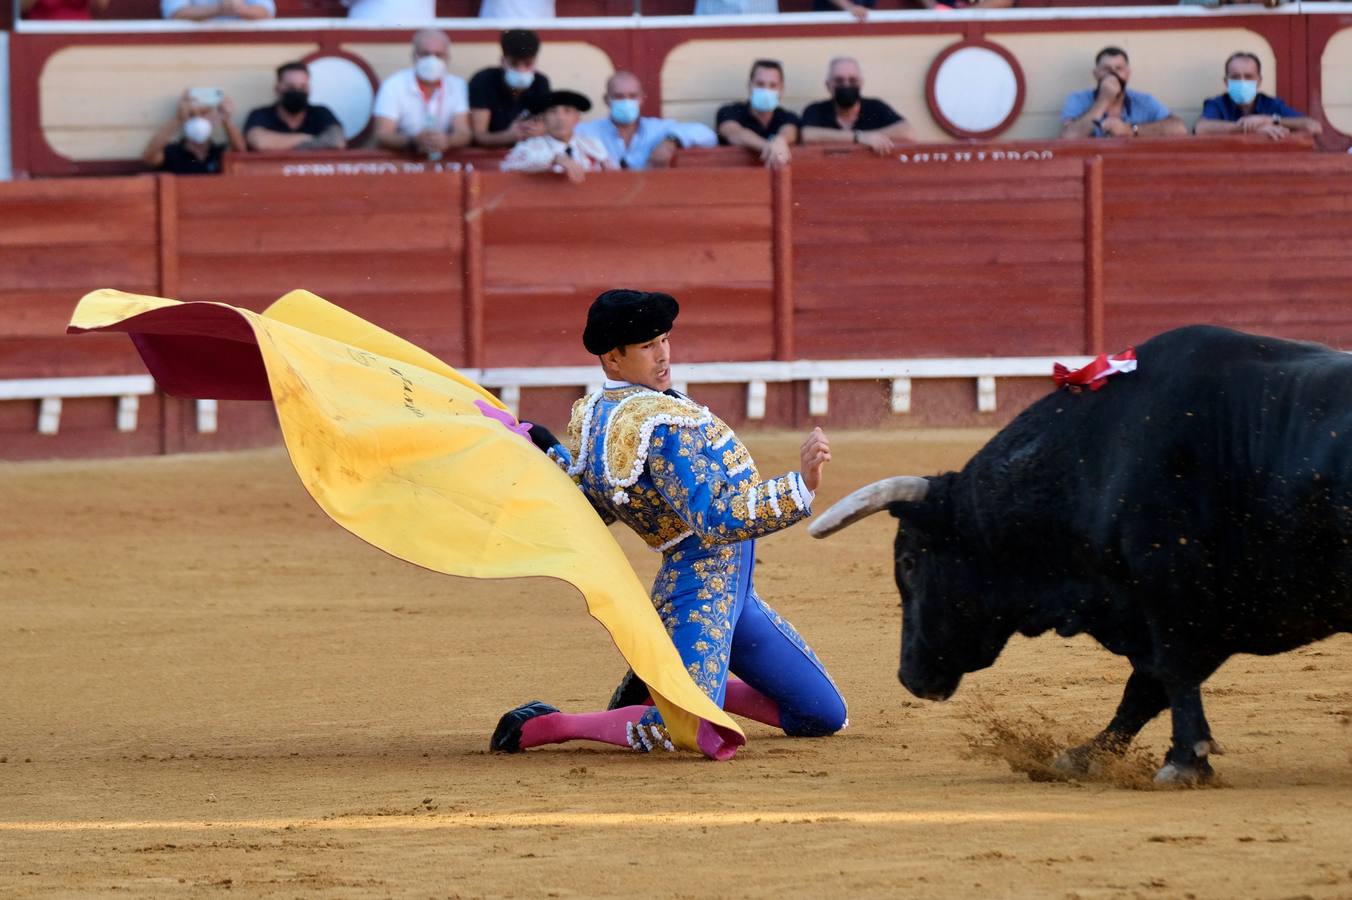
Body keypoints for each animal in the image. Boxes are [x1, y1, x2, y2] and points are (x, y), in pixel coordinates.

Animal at [811, 325, 1352, 783]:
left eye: (908, 562)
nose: (909, 676)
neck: (1097, 459)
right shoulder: (1199, 612)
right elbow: (1146, 687)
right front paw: (1085, 756)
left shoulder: (1173, 596)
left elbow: (1170, 674)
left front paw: (1183, 762)